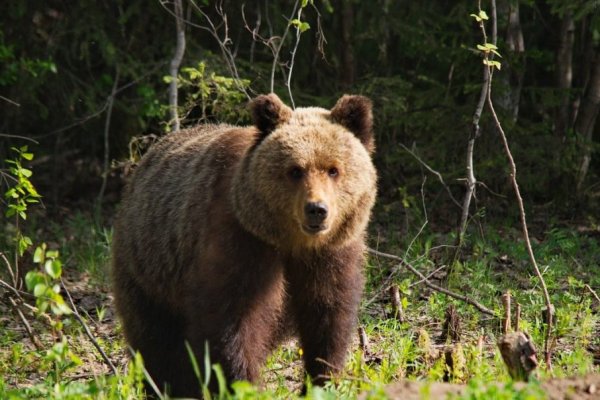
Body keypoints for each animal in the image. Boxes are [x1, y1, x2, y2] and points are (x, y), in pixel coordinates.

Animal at [110, 94, 378, 396]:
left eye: (333, 169)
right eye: (295, 170)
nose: (317, 210)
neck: (291, 242)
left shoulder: (330, 253)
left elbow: (328, 314)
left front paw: (321, 380)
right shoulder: (240, 241)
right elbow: (232, 322)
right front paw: (244, 384)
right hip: (149, 271)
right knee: (157, 342)